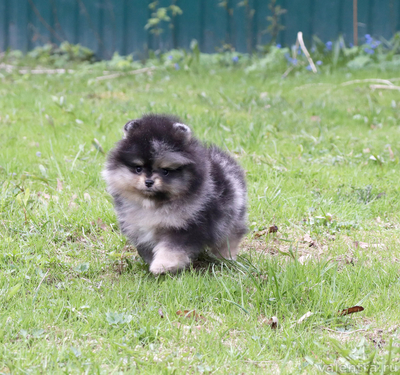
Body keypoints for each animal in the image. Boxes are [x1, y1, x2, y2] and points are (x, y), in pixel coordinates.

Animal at [102, 113, 247, 274]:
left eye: (165, 171)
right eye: (138, 168)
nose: (149, 182)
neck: (154, 205)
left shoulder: (183, 226)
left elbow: (171, 249)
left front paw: (162, 266)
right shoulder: (139, 229)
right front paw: (152, 262)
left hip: (230, 217)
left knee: (229, 237)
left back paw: (225, 258)